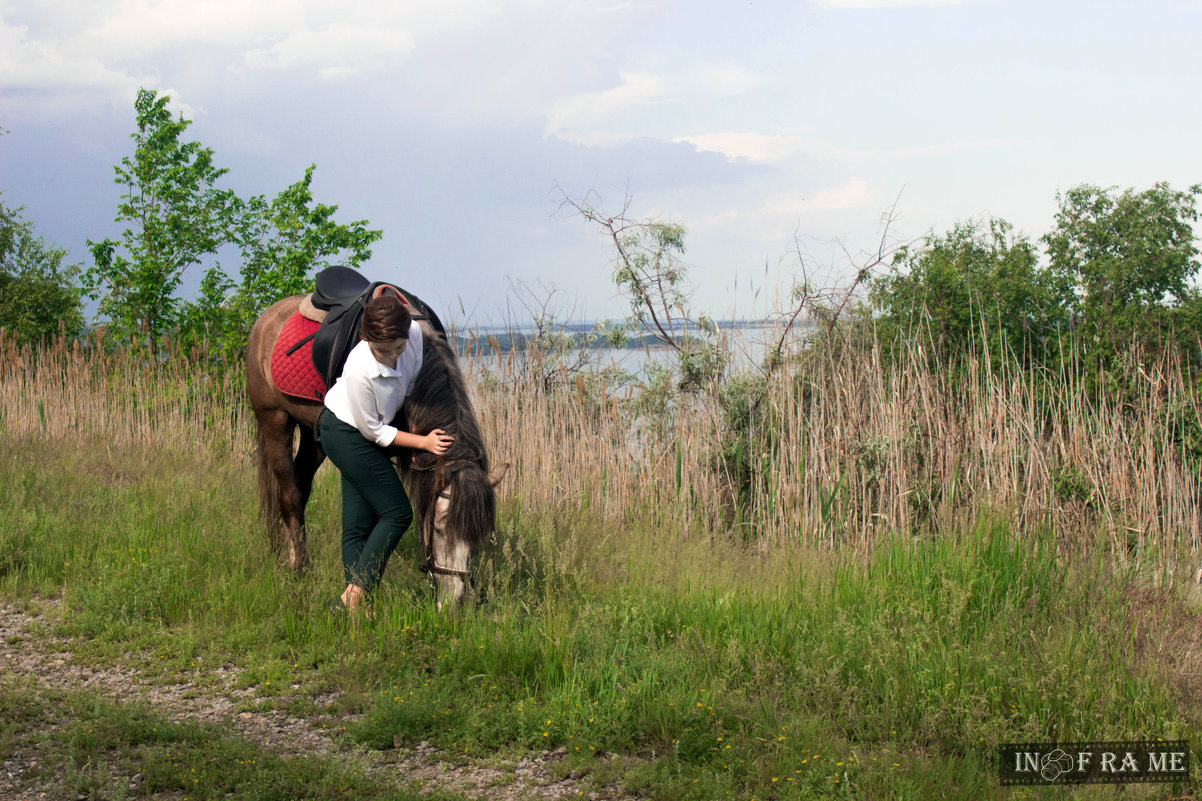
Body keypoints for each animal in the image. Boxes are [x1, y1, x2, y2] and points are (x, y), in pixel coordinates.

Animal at [244, 289, 507, 608]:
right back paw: (300, 569)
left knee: (301, 485)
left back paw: (294, 555)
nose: (454, 603)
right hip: (273, 419)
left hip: (313, 433)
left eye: (478, 535)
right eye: (441, 530)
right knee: (290, 496)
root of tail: (266, 318)